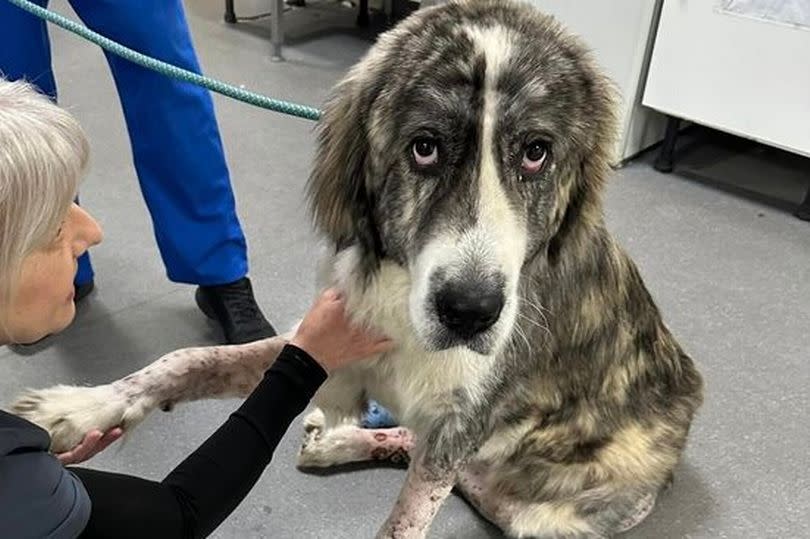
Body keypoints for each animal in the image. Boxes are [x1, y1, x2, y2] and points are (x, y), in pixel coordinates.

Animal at [11, 2, 700, 536]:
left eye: (536, 153)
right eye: (424, 147)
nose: (469, 311)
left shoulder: (456, 430)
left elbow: (407, 518)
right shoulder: (330, 336)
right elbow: (186, 360)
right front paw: (79, 408)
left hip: (542, 514)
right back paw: (338, 441)